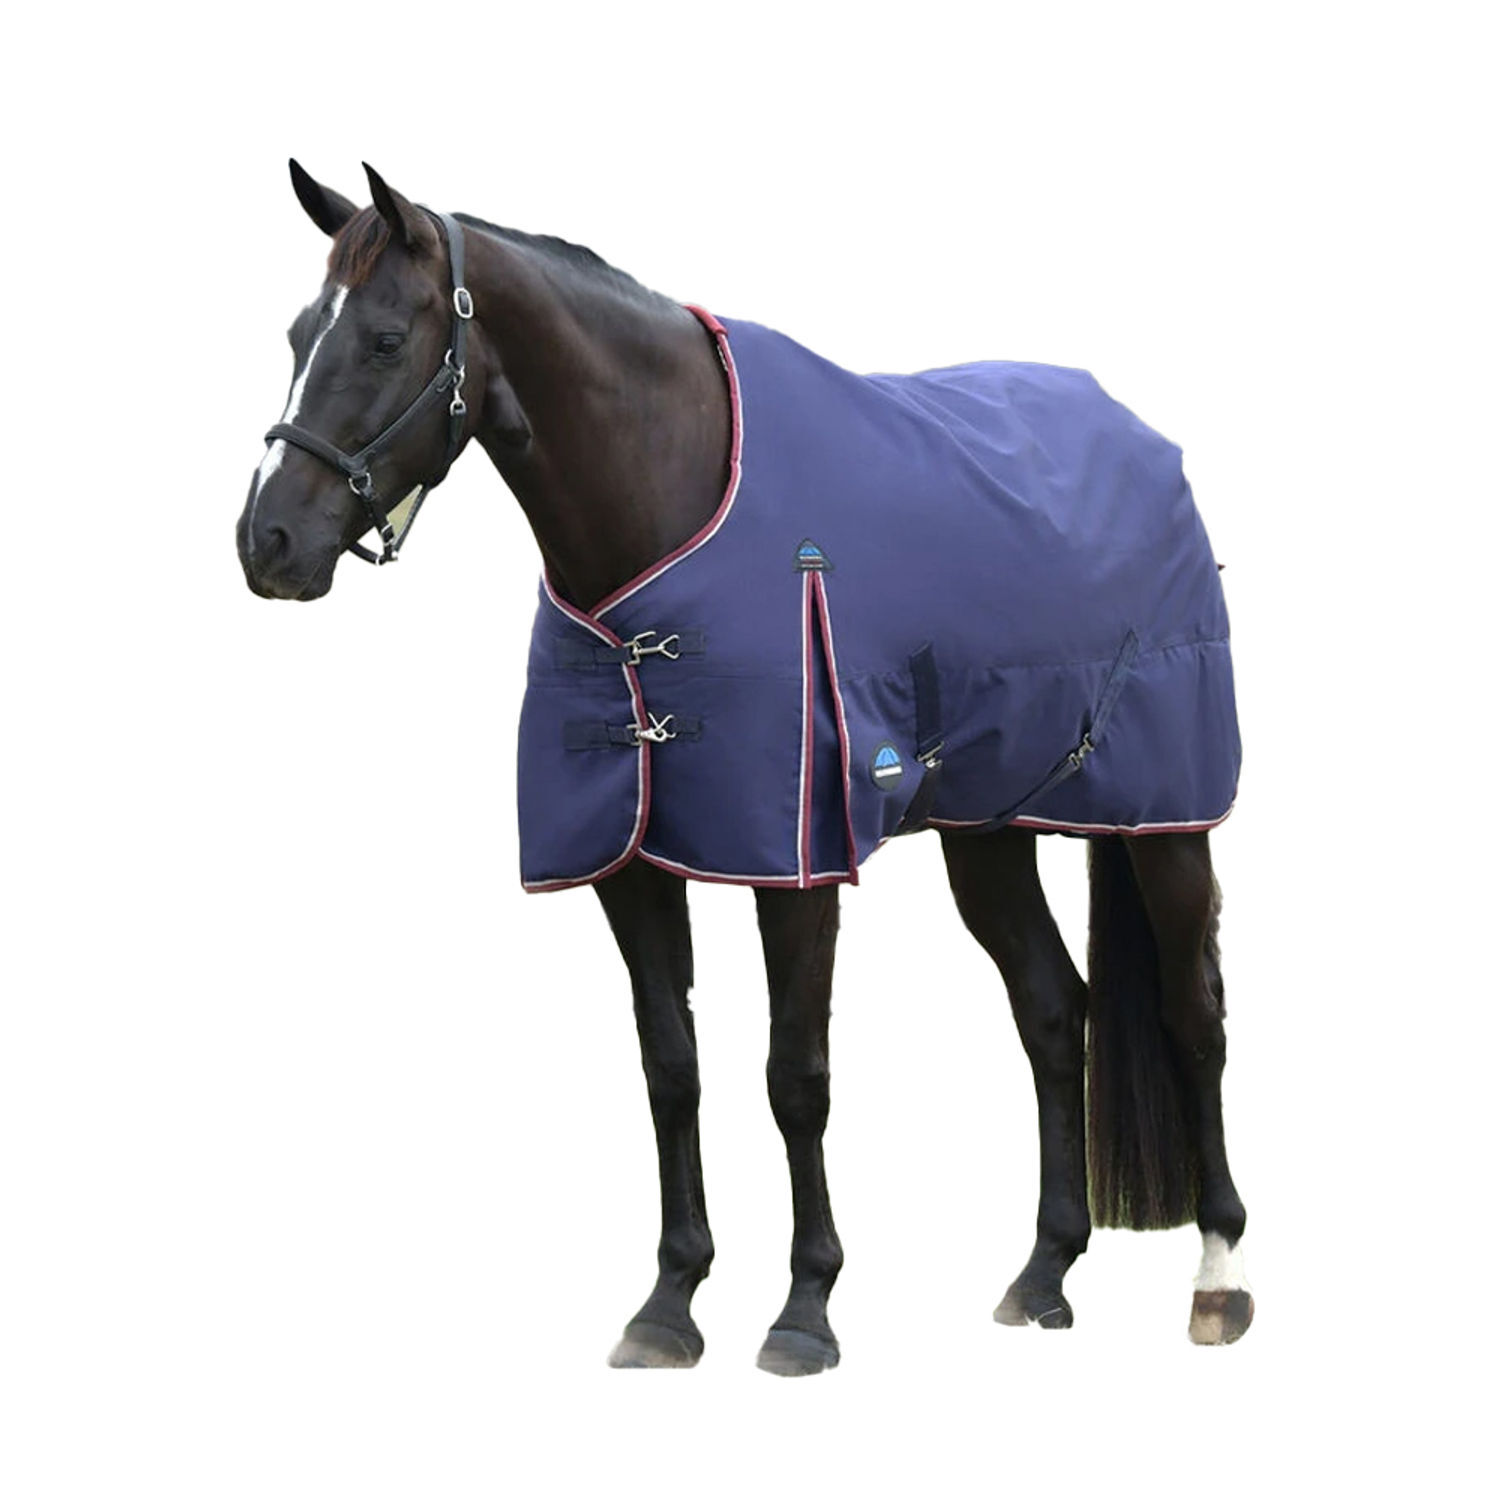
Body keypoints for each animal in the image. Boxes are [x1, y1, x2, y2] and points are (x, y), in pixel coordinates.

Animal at [236, 161, 1253, 1375]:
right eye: (299, 333)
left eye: (386, 338)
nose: (266, 544)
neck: (667, 512)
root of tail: (1143, 442)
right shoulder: (629, 864)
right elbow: (671, 1068)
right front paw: (669, 1303)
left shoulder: (796, 862)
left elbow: (794, 1077)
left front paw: (805, 1308)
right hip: (989, 832)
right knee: (1055, 1011)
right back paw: (1043, 1274)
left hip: (1167, 821)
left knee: (1194, 1015)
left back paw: (1219, 1278)